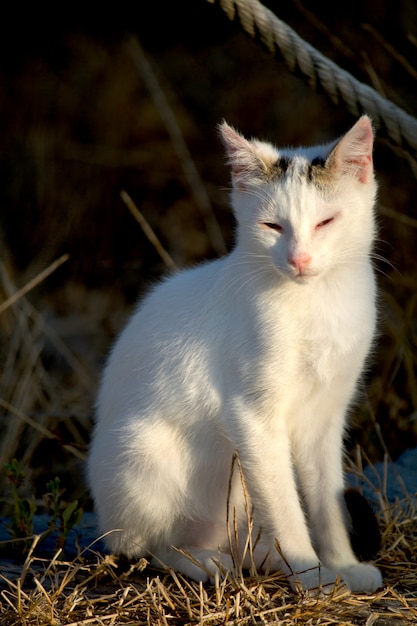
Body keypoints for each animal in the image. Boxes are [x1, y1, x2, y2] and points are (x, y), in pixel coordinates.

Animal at [87, 116, 380, 588]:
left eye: (326, 222)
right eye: (273, 227)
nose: (299, 260)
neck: (316, 301)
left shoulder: (325, 416)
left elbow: (327, 499)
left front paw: (342, 567)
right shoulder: (252, 417)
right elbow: (285, 507)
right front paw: (311, 575)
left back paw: (259, 558)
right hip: (141, 452)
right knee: (150, 549)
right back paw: (209, 562)